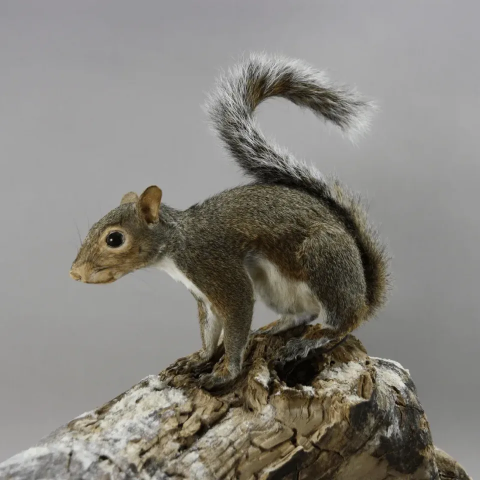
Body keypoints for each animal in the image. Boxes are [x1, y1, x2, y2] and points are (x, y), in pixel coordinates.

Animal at [68, 52, 390, 390]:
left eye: (114, 239)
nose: (75, 273)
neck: (177, 244)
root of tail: (365, 293)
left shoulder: (215, 268)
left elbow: (236, 314)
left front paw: (227, 371)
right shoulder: (203, 296)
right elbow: (210, 329)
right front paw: (201, 357)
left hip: (322, 260)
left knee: (343, 321)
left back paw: (312, 339)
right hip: (273, 285)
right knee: (304, 314)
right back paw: (276, 327)